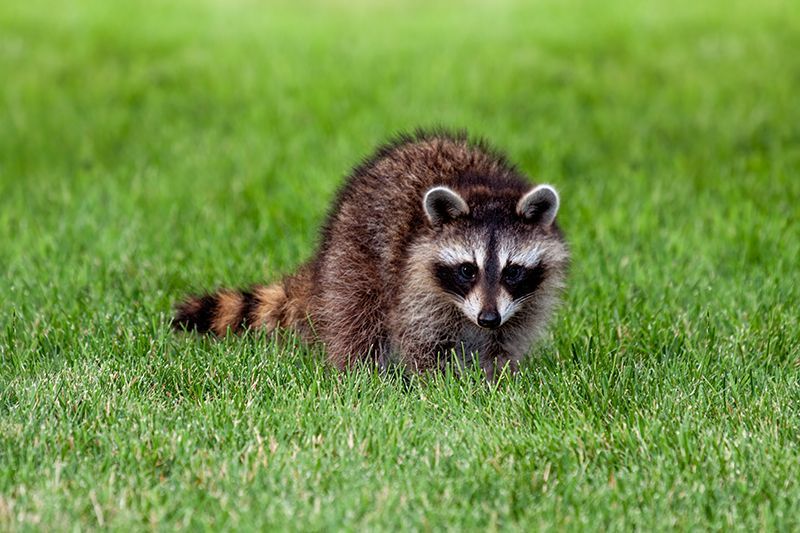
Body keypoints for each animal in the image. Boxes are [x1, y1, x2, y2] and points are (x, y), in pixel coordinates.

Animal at [173, 130, 569, 379]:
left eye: (512, 271)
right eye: (467, 270)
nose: (488, 319)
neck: (484, 188)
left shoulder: (524, 302)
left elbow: (507, 339)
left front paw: (499, 379)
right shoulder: (414, 281)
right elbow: (420, 337)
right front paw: (439, 383)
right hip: (354, 253)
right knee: (358, 311)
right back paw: (361, 373)